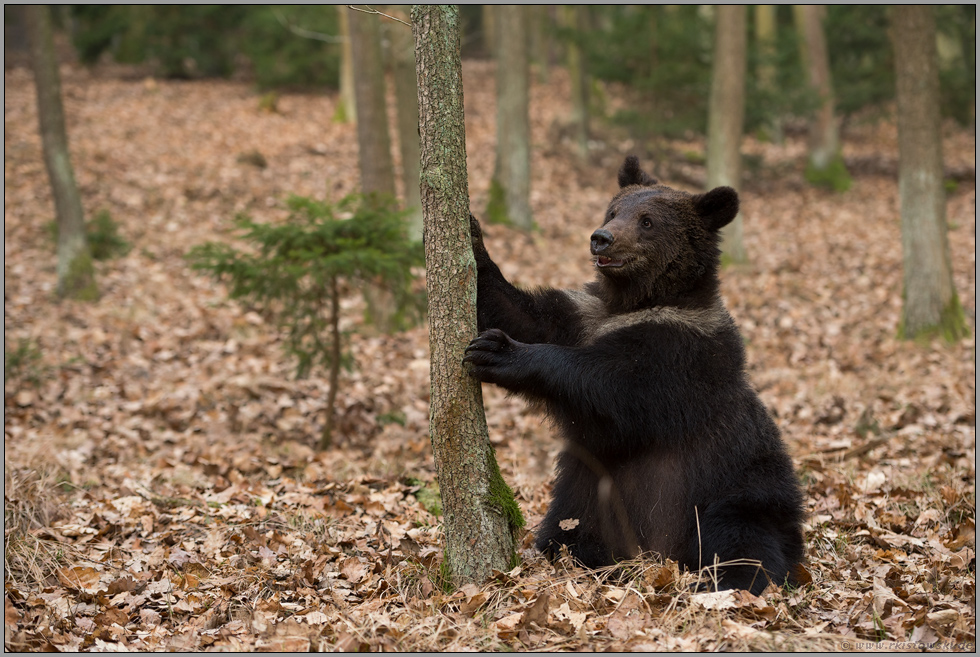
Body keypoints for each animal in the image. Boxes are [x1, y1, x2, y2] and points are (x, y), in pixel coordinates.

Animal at [466, 156, 804, 592]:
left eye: (647, 221)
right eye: (614, 210)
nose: (601, 238)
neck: (634, 303)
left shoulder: (680, 354)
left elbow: (614, 385)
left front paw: (500, 351)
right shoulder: (583, 316)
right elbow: (521, 312)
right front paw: (473, 235)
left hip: (738, 489)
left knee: (743, 541)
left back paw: (728, 581)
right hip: (592, 498)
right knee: (568, 530)